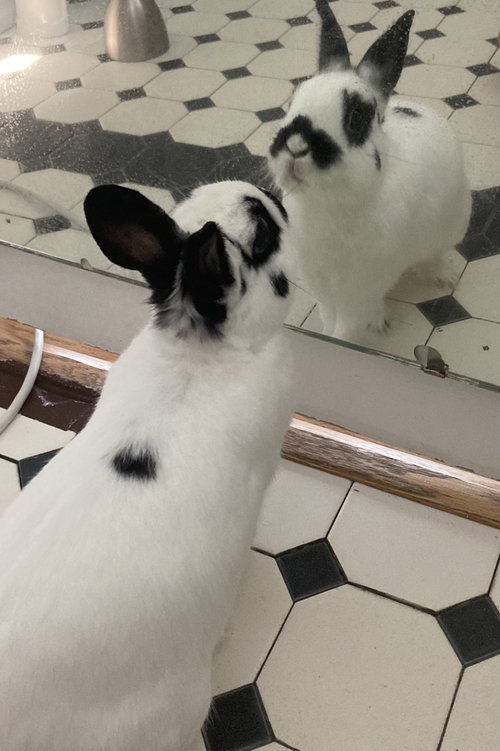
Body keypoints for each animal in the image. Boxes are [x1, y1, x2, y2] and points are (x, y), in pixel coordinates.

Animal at [268, 0, 471, 340]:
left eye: (356, 118)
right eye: (294, 100)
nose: (296, 145)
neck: (327, 205)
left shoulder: (359, 289)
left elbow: (346, 329)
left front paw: (339, 342)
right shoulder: (321, 284)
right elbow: (327, 315)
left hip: (450, 227)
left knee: (435, 255)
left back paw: (442, 278)